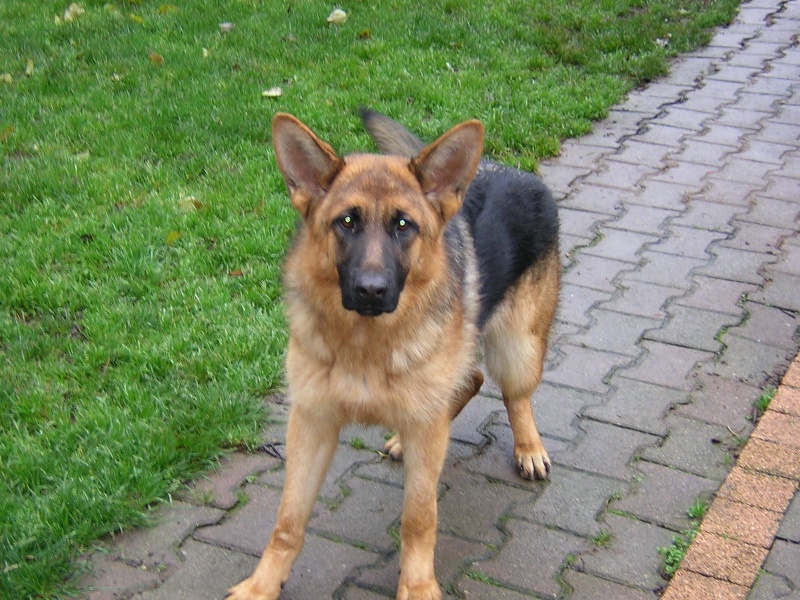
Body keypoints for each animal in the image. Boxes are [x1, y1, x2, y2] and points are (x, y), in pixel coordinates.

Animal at [227, 110, 559, 600]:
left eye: (404, 225)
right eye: (346, 221)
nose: (371, 290)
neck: (366, 344)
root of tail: (512, 170)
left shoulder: (422, 433)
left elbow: (419, 520)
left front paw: (417, 586)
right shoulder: (312, 424)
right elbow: (288, 520)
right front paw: (262, 584)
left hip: (516, 349)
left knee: (513, 396)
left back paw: (529, 447)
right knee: (471, 380)